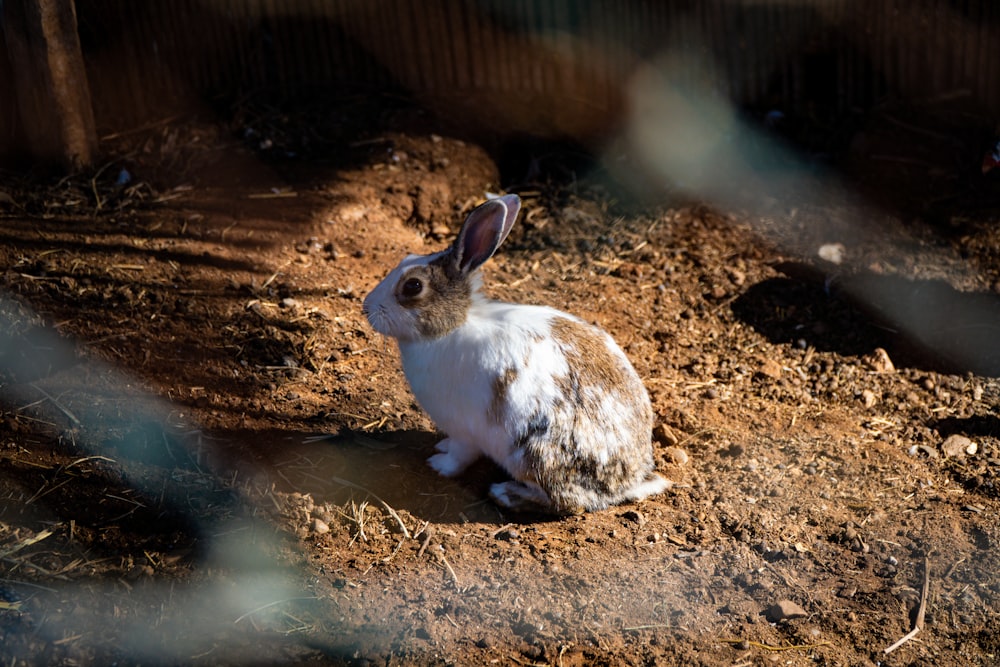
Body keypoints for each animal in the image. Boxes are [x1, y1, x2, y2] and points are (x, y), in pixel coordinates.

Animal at [362, 193, 672, 516]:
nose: (366, 307)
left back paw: (505, 493)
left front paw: (439, 464)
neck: (450, 327)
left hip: (531, 454)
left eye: (413, 286)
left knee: (566, 502)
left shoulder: (465, 432)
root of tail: (629, 482)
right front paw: (440, 448)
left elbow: (459, 456)